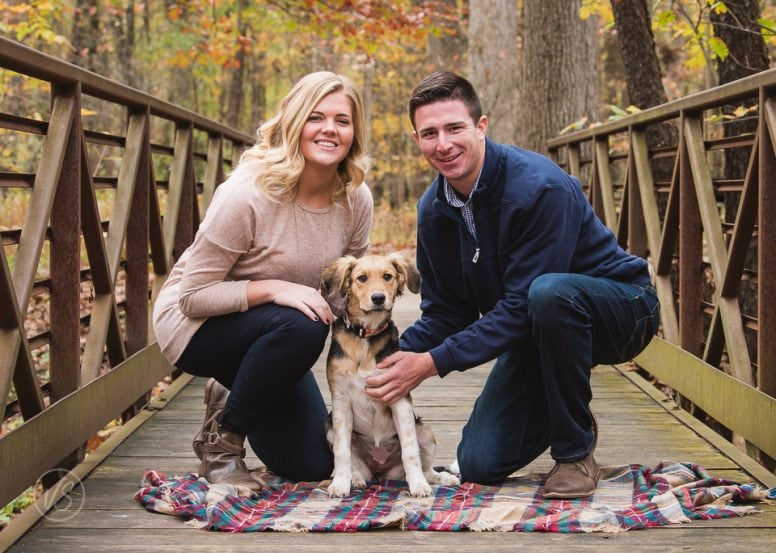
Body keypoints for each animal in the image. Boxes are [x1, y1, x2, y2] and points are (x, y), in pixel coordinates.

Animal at [318, 251, 458, 496]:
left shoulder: (399, 397)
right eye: (361, 278)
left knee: (427, 467)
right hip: (330, 428)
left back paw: (440, 478)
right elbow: (342, 453)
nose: (378, 298)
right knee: (355, 464)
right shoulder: (341, 403)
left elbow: (410, 450)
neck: (366, 337)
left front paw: (418, 485)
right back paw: (355, 479)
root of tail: (380, 472)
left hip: (426, 432)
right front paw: (340, 484)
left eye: (387, 276)